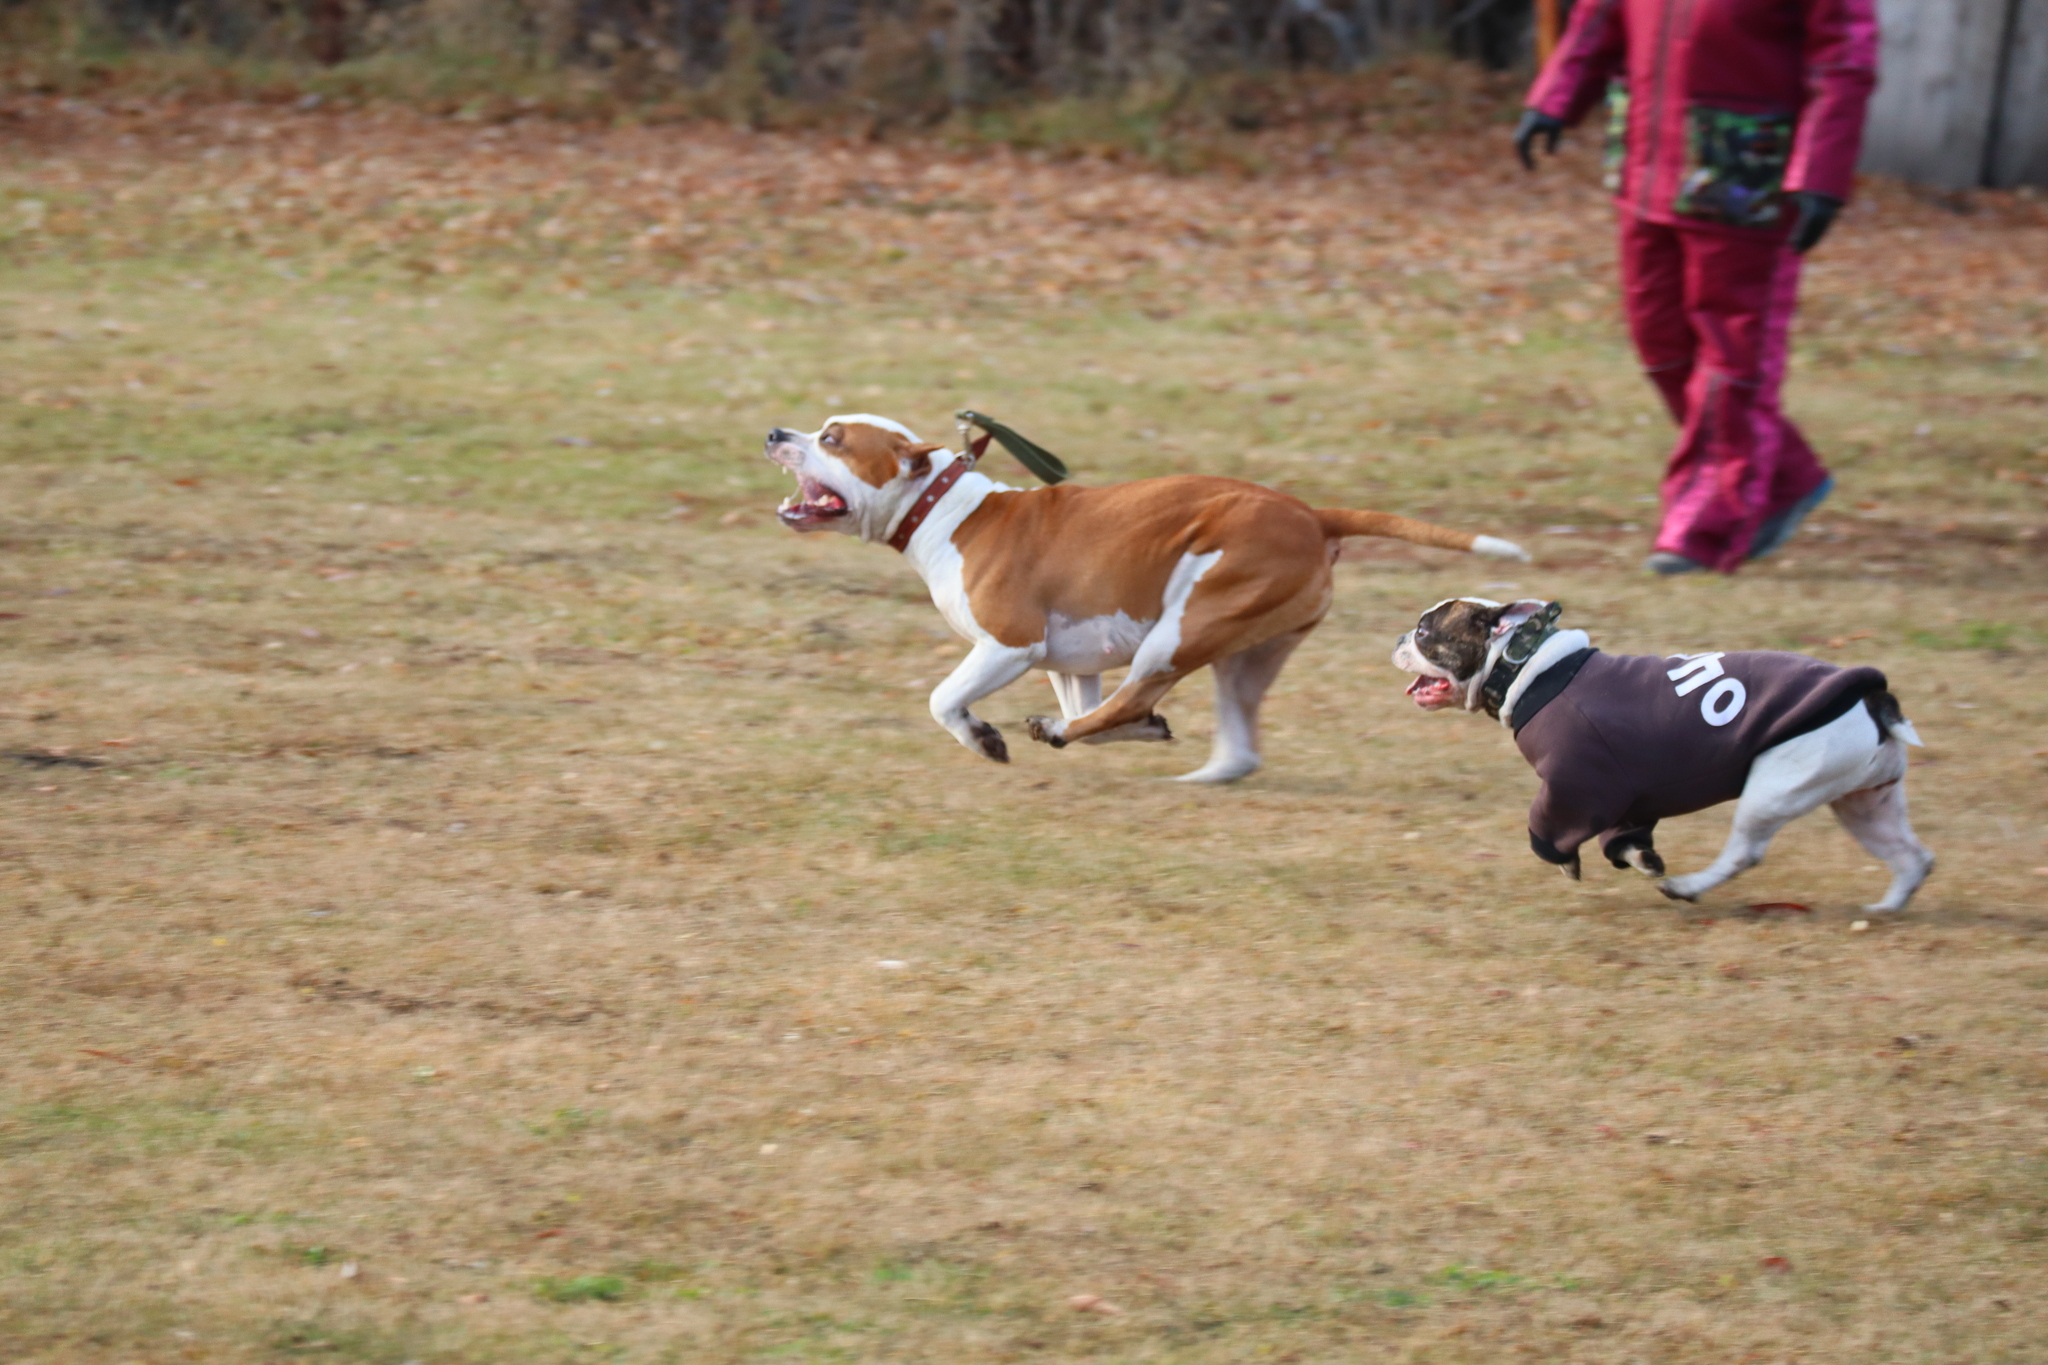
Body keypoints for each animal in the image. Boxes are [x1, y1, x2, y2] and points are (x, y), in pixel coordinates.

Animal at [761, 411, 1531, 785]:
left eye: (833, 437)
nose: (775, 433)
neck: (945, 507)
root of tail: (1312, 514)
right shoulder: (1069, 661)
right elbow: (1092, 701)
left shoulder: (1009, 646)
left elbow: (943, 699)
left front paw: (984, 738)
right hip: (1238, 653)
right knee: (1215, 740)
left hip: (1182, 629)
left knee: (1132, 698)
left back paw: (1067, 733)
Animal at [1392, 593, 1933, 908]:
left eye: (1424, 632)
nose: (1399, 636)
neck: (1527, 665)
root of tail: (1873, 697)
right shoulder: (1630, 793)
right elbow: (1628, 835)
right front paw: (1640, 857)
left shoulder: (1577, 785)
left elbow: (1550, 831)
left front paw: (1567, 862)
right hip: (1866, 802)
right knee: (1911, 856)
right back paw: (1886, 908)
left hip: (1779, 783)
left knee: (1744, 852)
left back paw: (1688, 888)